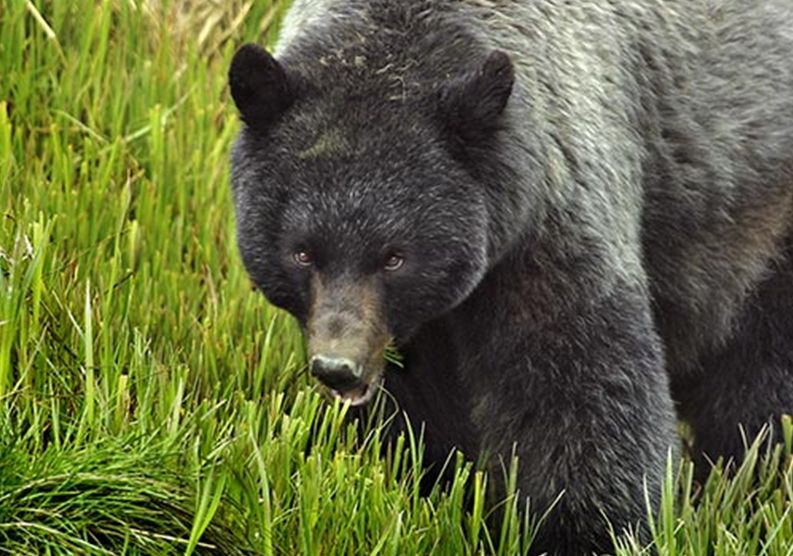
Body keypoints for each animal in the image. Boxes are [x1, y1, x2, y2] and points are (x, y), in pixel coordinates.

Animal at [227, 1, 793, 553]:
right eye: (303, 252)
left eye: (394, 256)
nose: (338, 367)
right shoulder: (413, 332)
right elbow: (417, 418)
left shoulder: (552, 219)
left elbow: (579, 386)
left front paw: (588, 531)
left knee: (760, 388)